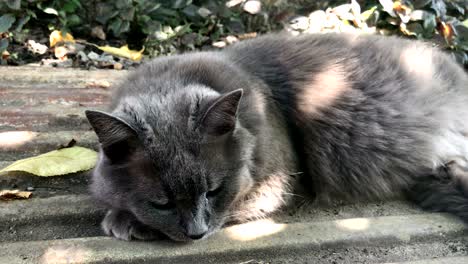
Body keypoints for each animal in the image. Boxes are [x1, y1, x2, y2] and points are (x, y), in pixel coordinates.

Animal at [86, 32, 468, 241]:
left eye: (214, 191)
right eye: (162, 203)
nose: (196, 233)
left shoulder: (281, 183)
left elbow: (232, 208)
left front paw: (122, 220)